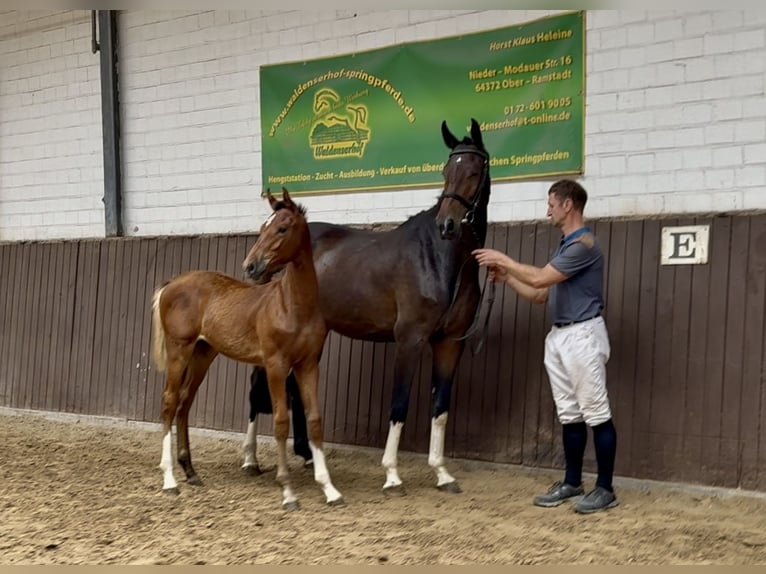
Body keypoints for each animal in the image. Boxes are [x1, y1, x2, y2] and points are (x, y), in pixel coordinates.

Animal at [150, 187, 343, 510]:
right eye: (262, 228)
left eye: (282, 228)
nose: (250, 266)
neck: (292, 306)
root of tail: (171, 285)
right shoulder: (276, 365)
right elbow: (280, 422)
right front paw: (287, 491)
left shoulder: (308, 364)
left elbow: (315, 421)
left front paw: (329, 489)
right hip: (180, 350)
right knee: (169, 401)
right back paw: (169, 480)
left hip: (203, 354)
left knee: (185, 402)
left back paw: (190, 471)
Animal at [243, 118, 491, 494]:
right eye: (447, 171)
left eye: (475, 171)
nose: (447, 224)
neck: (441, 259)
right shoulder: (410, 340)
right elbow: (399, 405)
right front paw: (392, 474)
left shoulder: (449, 343)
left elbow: (440, 407)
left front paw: (442, 473)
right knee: (258, 385)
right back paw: (250, 459)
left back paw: (306, 455)